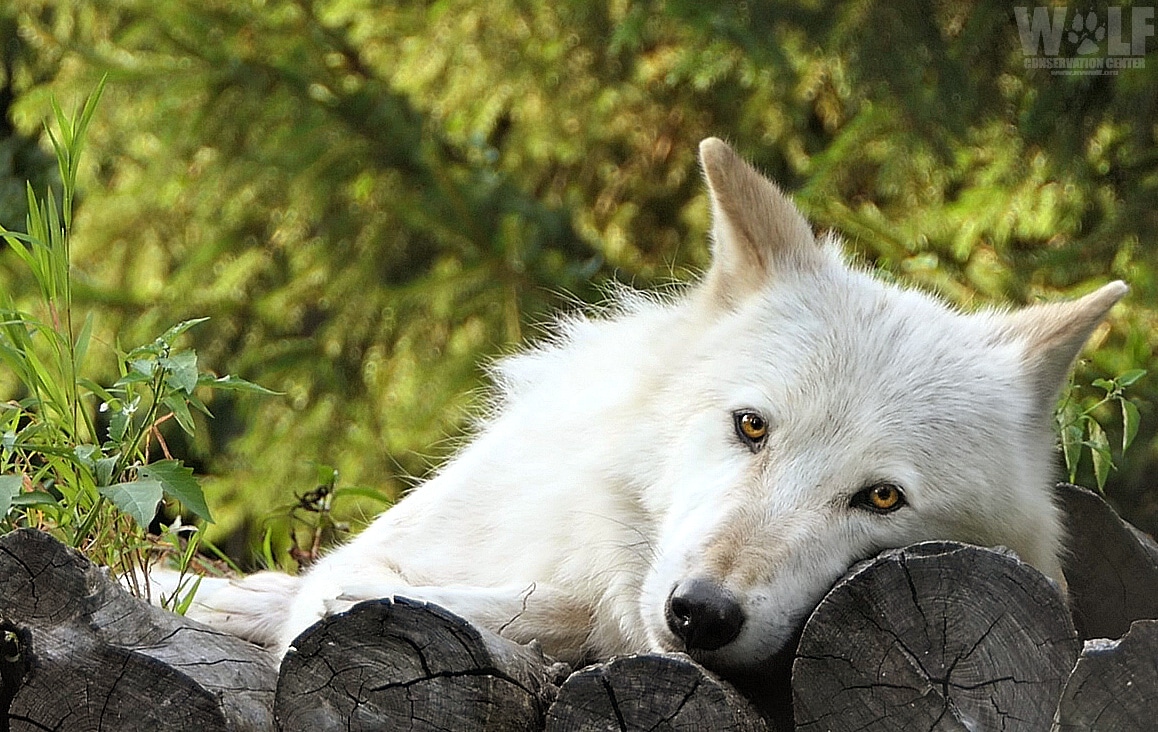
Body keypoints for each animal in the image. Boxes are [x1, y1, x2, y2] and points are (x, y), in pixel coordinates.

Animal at [176, 137, 1125, 676]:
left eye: (881, 497)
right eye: (751, 427)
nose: (701, 613)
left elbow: (559, 611)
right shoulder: (400, 548)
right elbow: (340, 586)